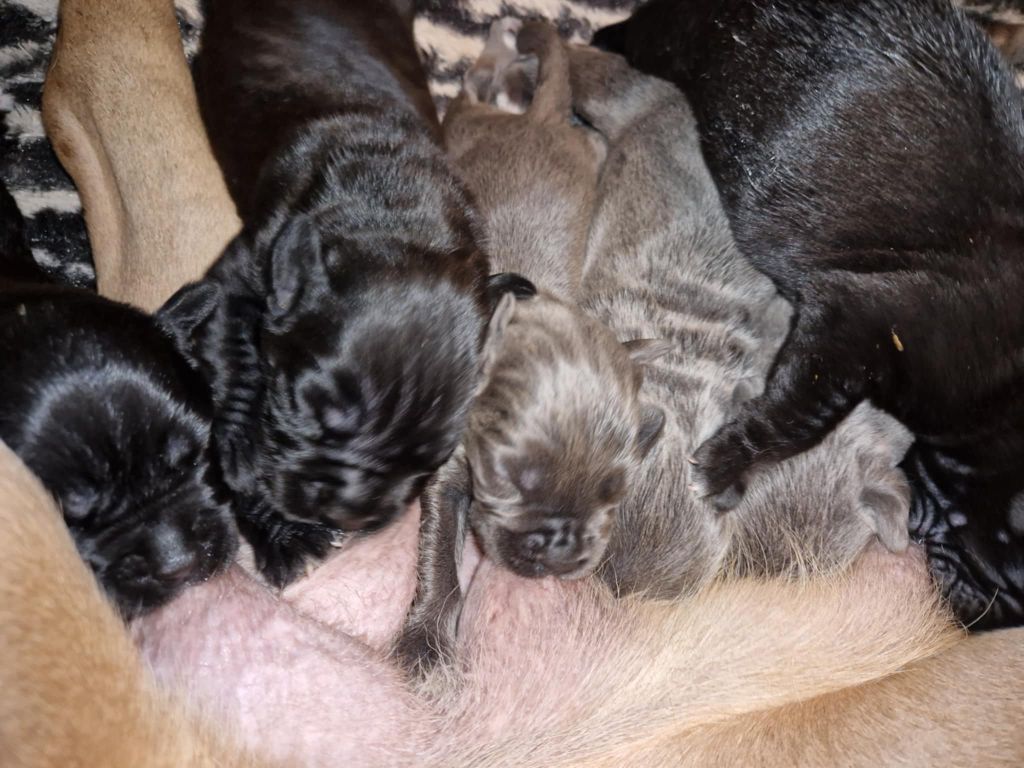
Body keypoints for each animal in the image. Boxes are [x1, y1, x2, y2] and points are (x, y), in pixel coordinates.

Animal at [185, 0, 495, 589]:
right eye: (302, 409)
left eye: (431, 457)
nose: (349, 512)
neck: (393, 211)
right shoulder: (235, 273)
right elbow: (236, 359)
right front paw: (247, 467)